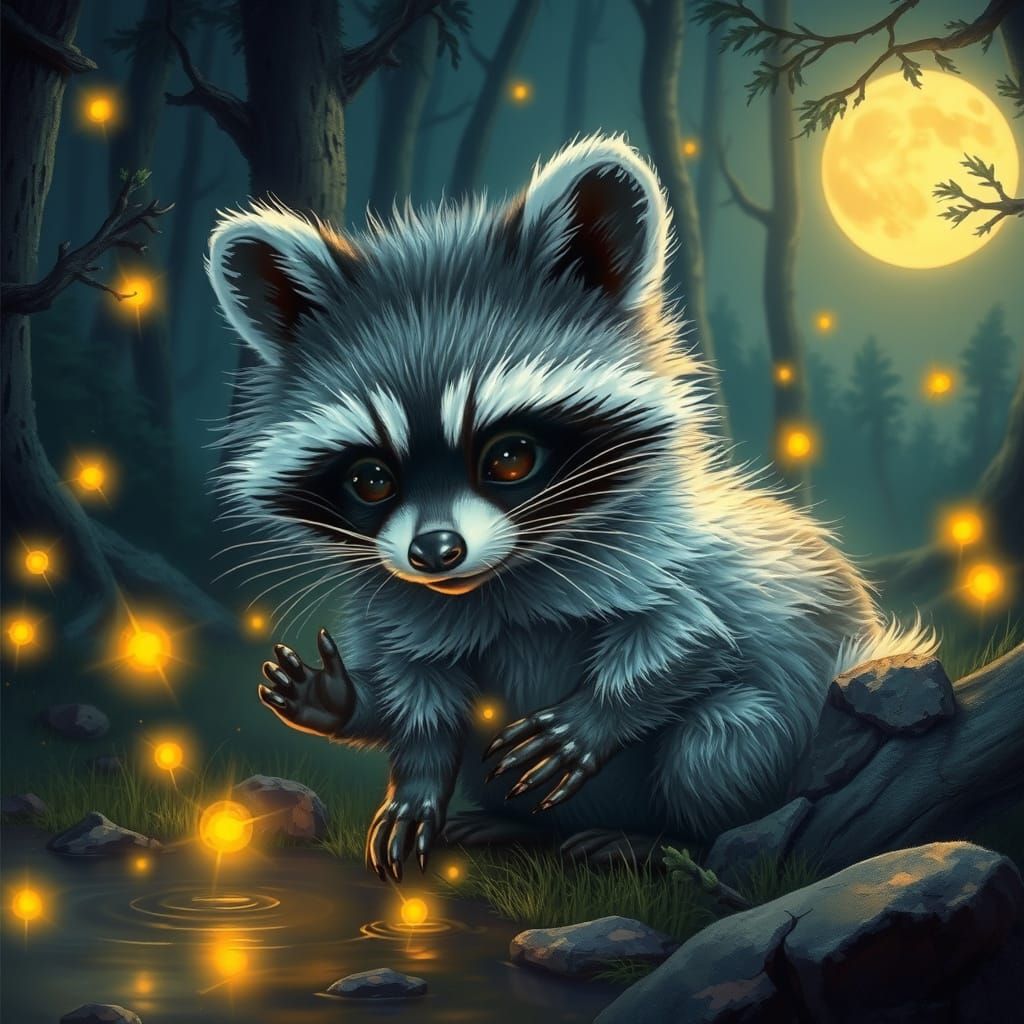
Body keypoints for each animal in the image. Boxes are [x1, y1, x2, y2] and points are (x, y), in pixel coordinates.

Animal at [208, 135, 934, 881]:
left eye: (509, 457)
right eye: (372, 479)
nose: (434, 552)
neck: (496, 579)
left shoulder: (678, 560)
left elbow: (693, 639)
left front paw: (598, 714)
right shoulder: (400, 614)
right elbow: (415, 704)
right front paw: (364, 725)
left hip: (785, 723)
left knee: (720, 748)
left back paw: (664, 839)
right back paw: (512, 823)